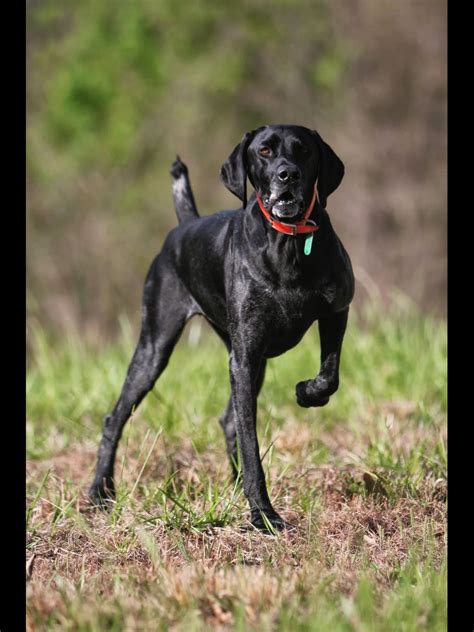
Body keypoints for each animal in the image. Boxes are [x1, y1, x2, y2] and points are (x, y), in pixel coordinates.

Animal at [90, 126, 354, 532]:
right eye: (264, 151)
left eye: (304, 151)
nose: (287, 175)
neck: (288, 244)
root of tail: (184, 225)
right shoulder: (243, 359)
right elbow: (250, 442)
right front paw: (264, 516)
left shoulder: (336, 310)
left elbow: (329, 376)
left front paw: (307, 393)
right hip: (154, 348)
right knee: (115, 417)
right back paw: (99, 493)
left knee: (228, 419)